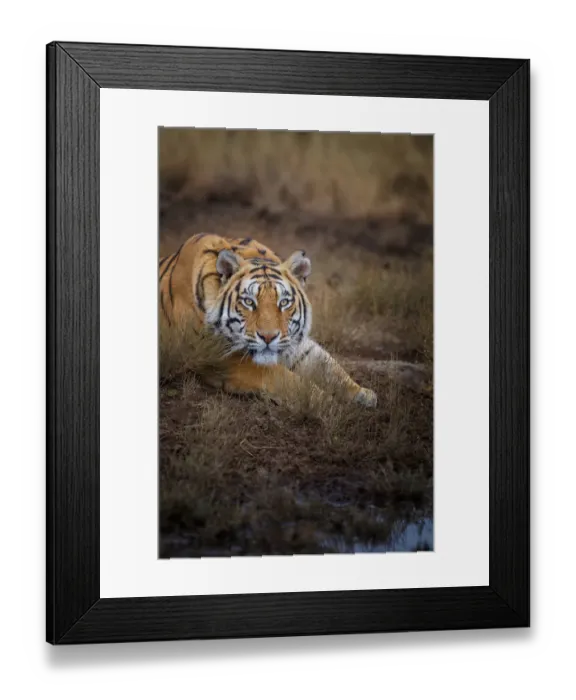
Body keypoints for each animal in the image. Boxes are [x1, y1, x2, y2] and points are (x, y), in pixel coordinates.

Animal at [159, 233, 377, 407]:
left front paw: (363, 394)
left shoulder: (295, 343)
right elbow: (286, 379)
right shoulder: (222, 358)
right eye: (248, 302)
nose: (268, 337)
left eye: (284, 302)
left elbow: (329, 367)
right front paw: (324, 401)